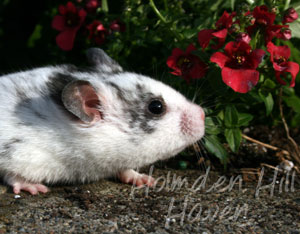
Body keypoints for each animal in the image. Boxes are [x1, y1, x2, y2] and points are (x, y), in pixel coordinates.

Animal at [0, 48, 205, 195]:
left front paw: (146, 180)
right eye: (156, 107)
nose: (203, 114)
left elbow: (126, 170)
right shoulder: (19, 155)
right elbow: (14, 176)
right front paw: (37, 189)